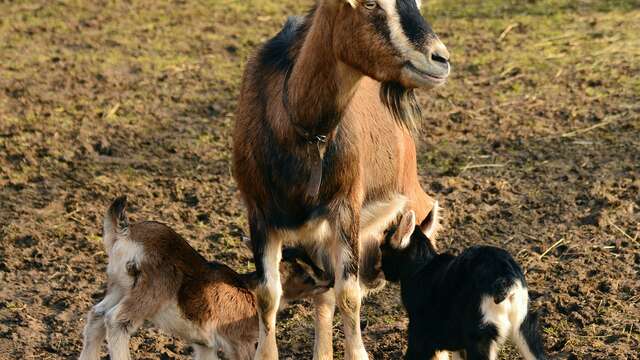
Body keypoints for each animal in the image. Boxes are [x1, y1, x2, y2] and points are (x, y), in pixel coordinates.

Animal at [232, 1, 448, 358]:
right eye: (370, 4)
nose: (440, 59)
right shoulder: (259, 215)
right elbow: (269, 296)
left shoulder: (346, 208)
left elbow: (348, 295)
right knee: (324, 297)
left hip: (411, 199)